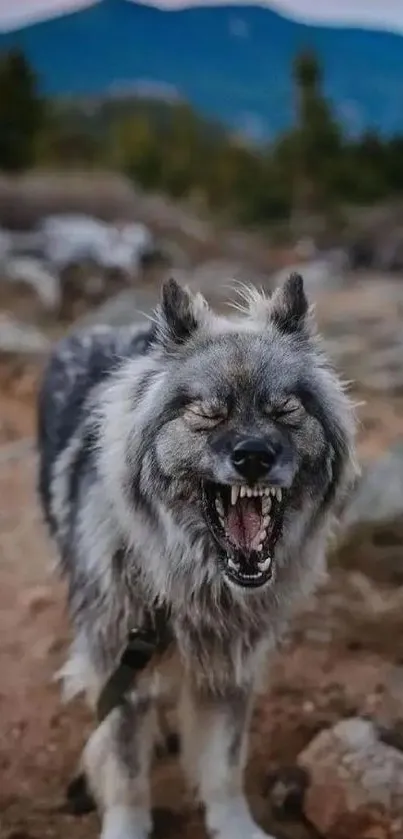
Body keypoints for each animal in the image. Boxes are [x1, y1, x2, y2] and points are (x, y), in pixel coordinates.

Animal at [38, 276, 358, 839]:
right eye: (208, 413)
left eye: (285, 410)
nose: (254, 456)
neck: (189, 578)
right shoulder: (121, 665)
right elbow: (126, 775)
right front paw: (126, 827)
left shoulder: (230, 671)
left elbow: (224, 767)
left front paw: (237, 828)